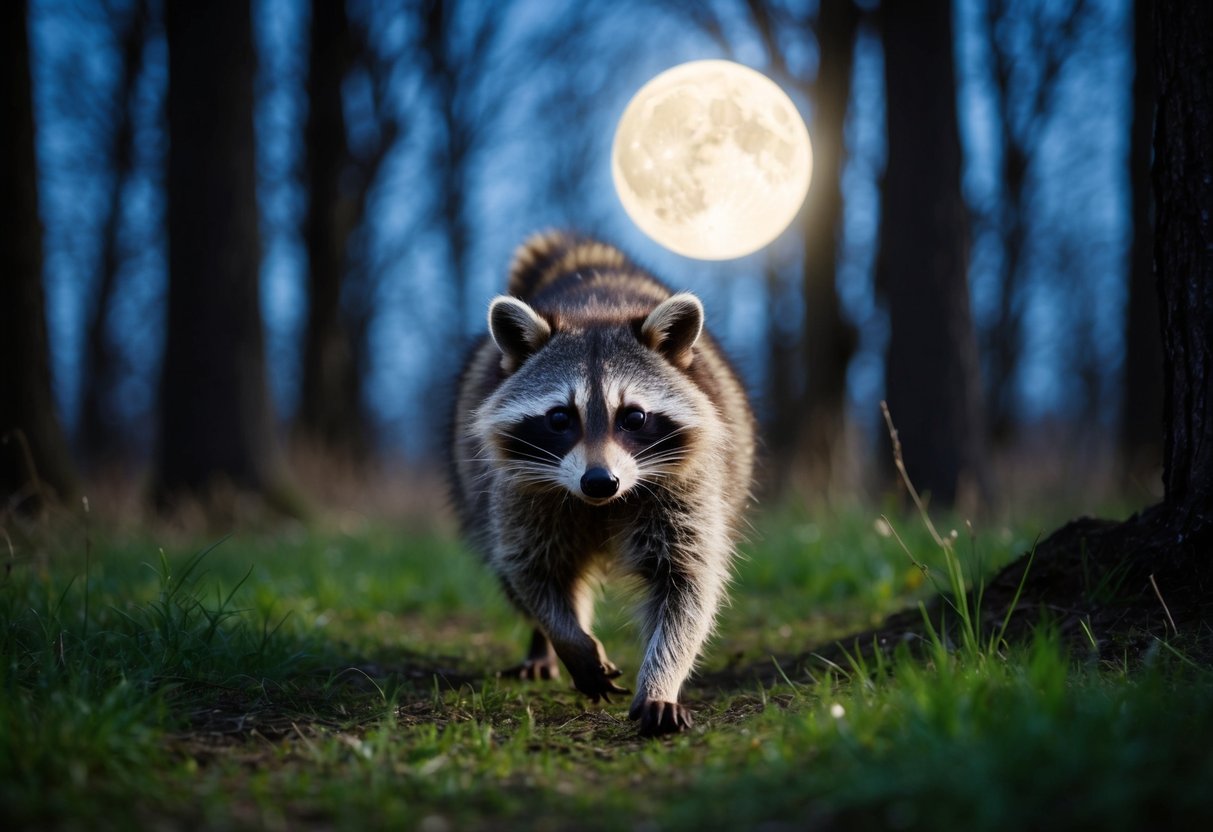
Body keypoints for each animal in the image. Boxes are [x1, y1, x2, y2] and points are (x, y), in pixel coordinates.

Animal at [449, 231, 755, 736]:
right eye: (559, 418)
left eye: (633, 417)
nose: (599, 482)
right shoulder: (518, 489)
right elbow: (532, 570)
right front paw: (568, 640)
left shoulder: (687, 485)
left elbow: (687, 585)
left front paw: (661, 681)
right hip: (473, 482)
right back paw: (544, 646)